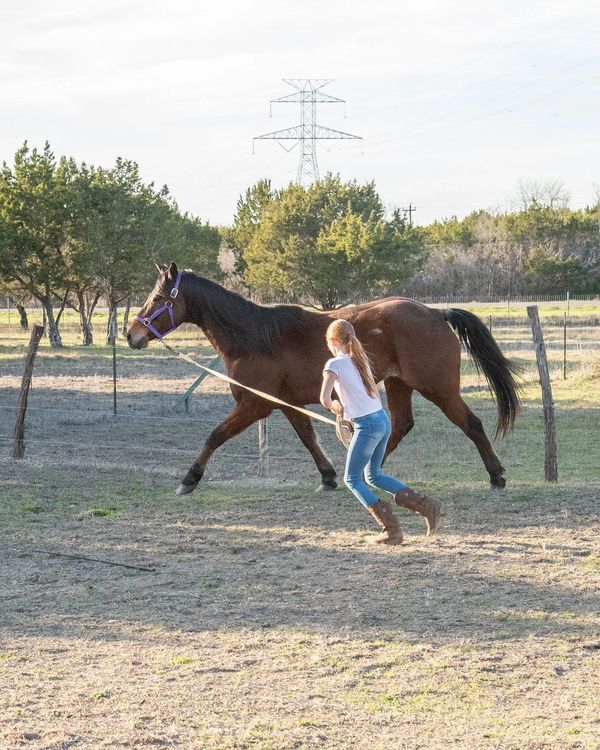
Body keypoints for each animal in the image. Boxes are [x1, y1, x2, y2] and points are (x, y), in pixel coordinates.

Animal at [127, 262, 520, 496]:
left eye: (159, 298)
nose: (132, 334)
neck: (253, 337)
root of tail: (436, 313)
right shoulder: (287, 404)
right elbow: (308, 439)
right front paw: (328, 477)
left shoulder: (253, 405)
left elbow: (214, 436)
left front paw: (188, 480)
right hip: (399, 384)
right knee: (401, 425)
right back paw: (369, 469)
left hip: (437, 387)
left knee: (470, 423)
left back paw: (497, 476)